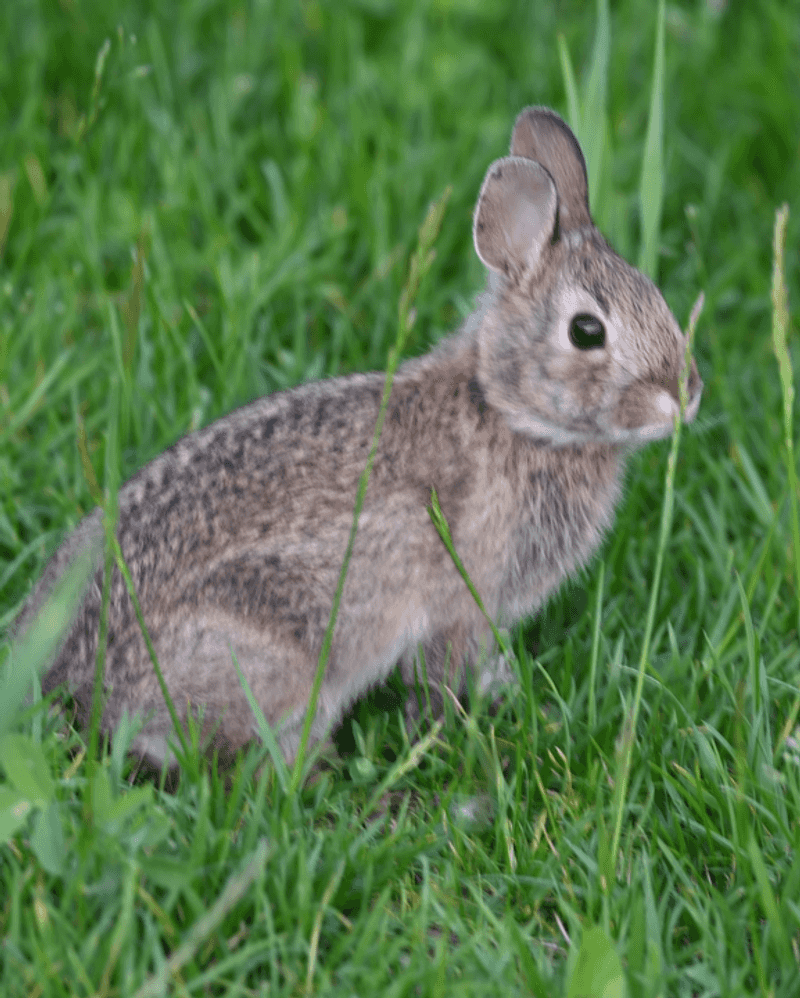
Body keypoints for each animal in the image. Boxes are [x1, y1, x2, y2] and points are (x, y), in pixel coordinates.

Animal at [11, 106, 702, 769]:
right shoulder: (460, 602)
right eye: (587, 331)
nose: (686, 394)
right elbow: (444, 674)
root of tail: (76, 684)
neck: (506, 410)